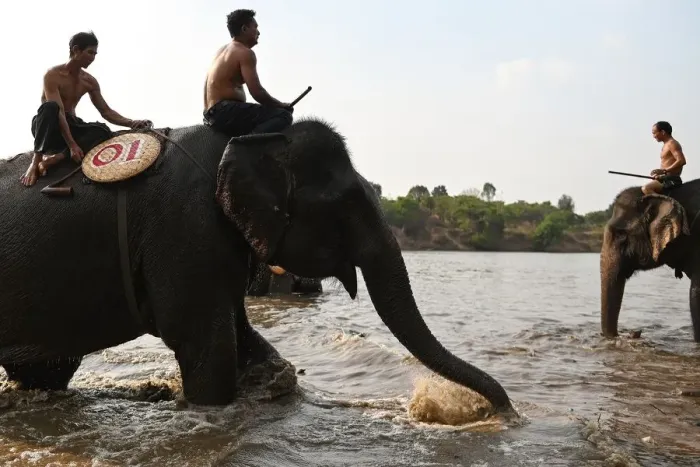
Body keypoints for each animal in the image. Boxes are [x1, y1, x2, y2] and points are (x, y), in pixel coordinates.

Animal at [0, 117, 515, 414]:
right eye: (347, 204)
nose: (501, 411)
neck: (246, 139)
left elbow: (241, 332)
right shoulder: (185, 226)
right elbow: (205, 344)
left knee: (47, 371)